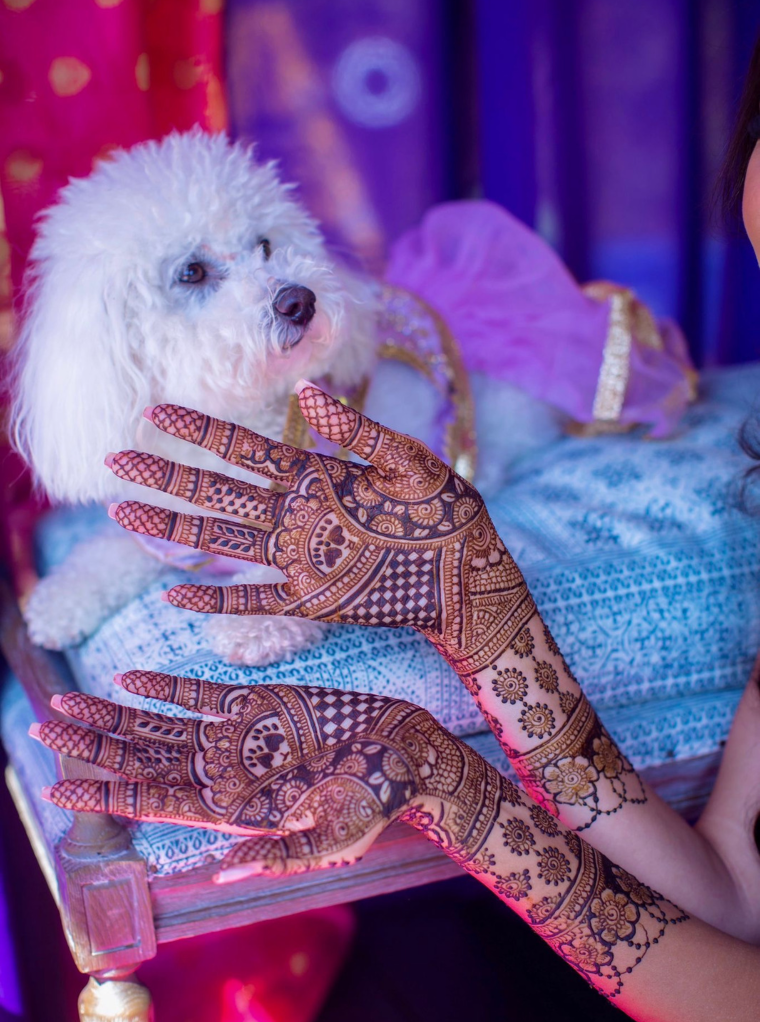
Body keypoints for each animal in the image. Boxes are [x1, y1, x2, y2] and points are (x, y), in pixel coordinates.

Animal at [10, 127, 559, 666]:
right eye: (191, 272)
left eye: (265, 244)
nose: (299, 301)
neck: (235, 413)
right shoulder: (158, 521)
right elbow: (111, 547)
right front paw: (63, 598)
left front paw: (251, 620)